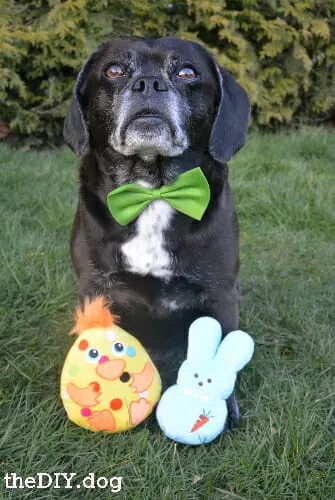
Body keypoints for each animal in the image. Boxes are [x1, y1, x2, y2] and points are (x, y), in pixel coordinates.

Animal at [64, 36, 251, 426]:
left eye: (187, 72)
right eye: (114, 70)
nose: (148, 83)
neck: (152, 189)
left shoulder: (221, 291)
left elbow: (224, 343)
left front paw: (225, 408)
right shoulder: (94, 286)